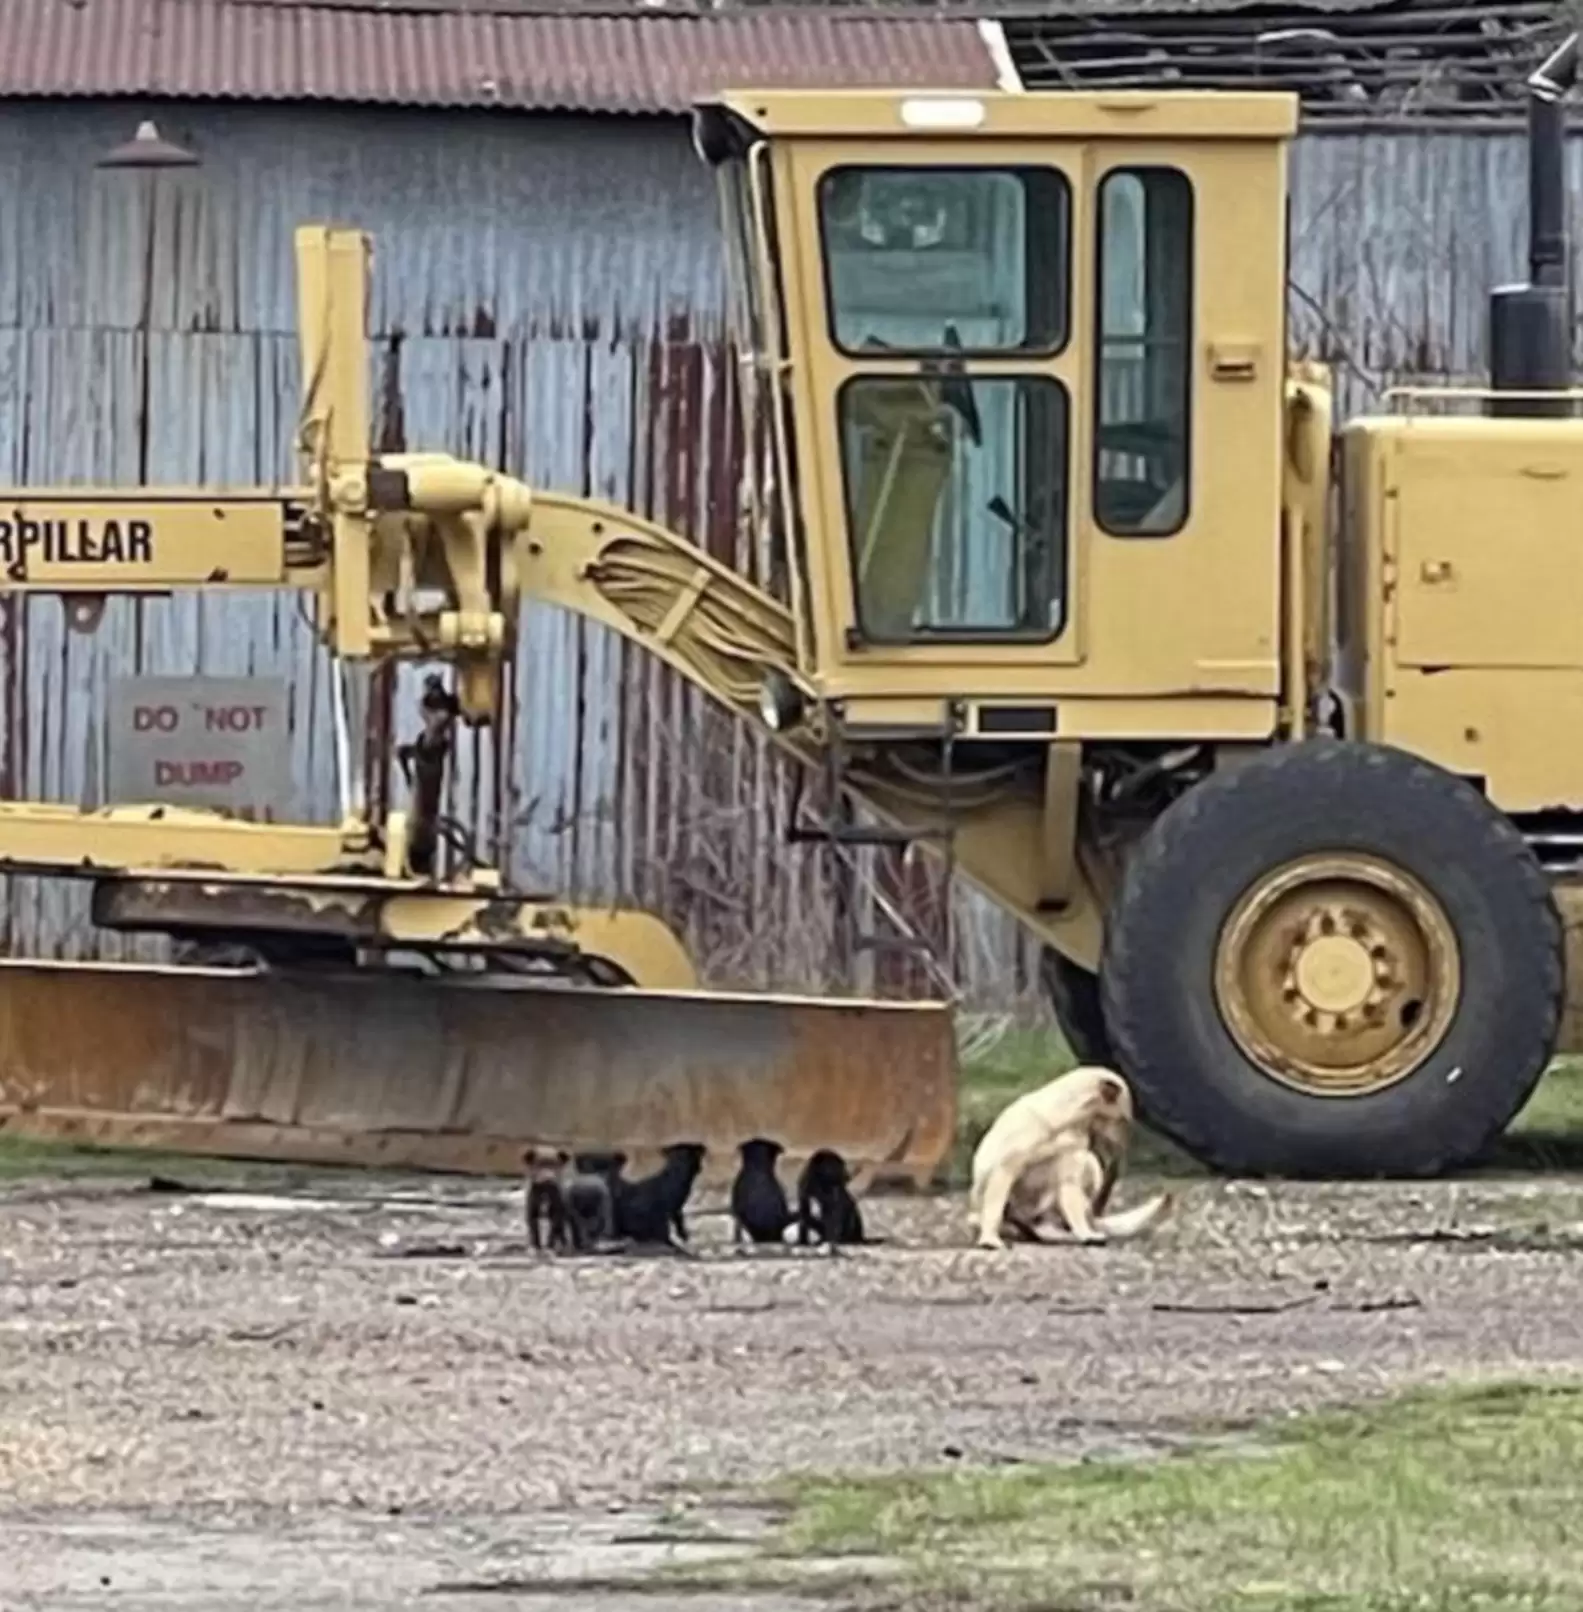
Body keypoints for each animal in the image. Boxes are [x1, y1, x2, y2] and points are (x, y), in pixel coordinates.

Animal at [967, 1063, 1179, 1250]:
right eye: (1123, 1119)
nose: (1122, 1150)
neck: (1064, 1120)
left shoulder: (1072, 1156)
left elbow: (1070, 1190)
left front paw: (1086, 1233)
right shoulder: (1006, 1167)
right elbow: (997, 1199)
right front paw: (989, 1239)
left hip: (1086, 1167)